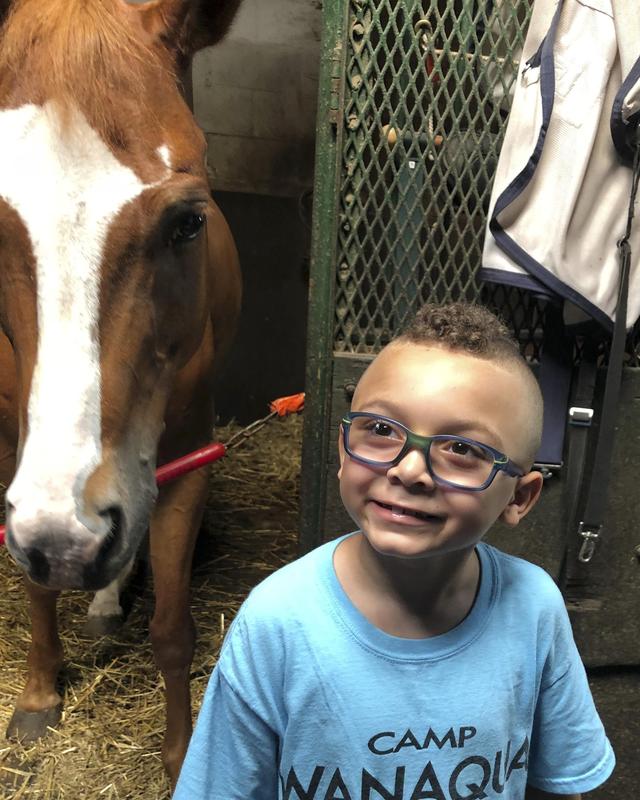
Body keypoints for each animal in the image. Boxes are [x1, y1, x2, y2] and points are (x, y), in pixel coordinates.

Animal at [0, 0, 242, 788]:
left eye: (188, 221)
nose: (67, 537)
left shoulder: (187, 463)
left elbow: (173, 630)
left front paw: (182, 756)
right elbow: (35, 585)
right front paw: (39, 696)